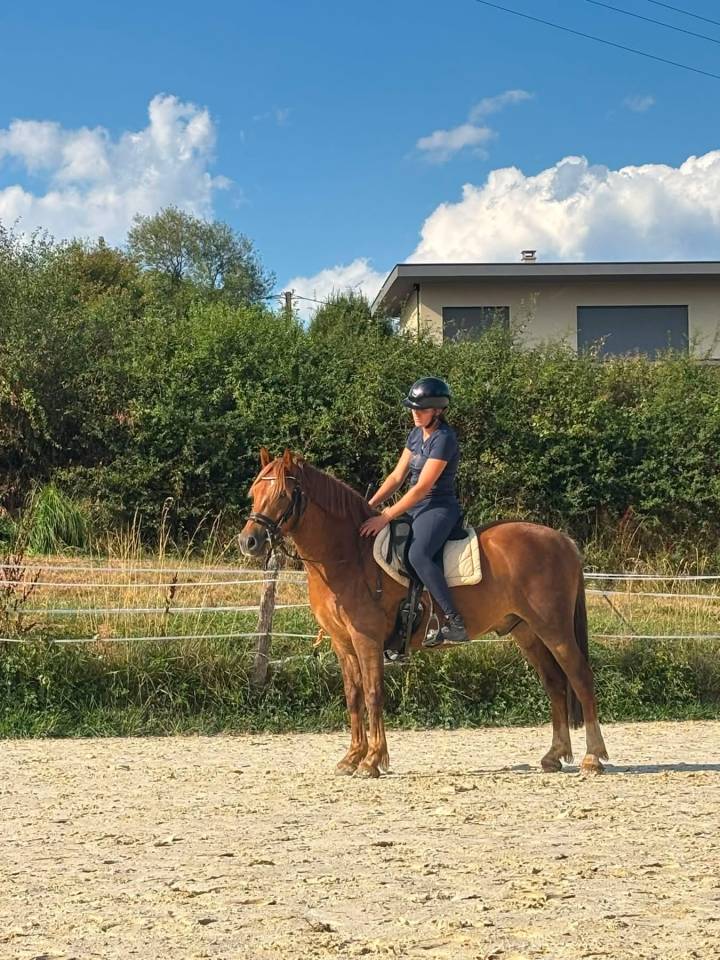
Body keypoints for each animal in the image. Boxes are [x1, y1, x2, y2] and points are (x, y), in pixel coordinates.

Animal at [239, 448, 608, 779]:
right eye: (254, 492)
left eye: (283, 495)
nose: (249, 542)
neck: (347, 556)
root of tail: (562, 539)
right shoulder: (342, 643)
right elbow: (353, 696)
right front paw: (352, 758)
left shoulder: (367, 639)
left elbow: (373, 694)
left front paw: (372, 761)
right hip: (527, 632)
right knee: (555, 683)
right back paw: (554, 756)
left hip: (555, 629)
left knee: (580, 677)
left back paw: (592, 758)